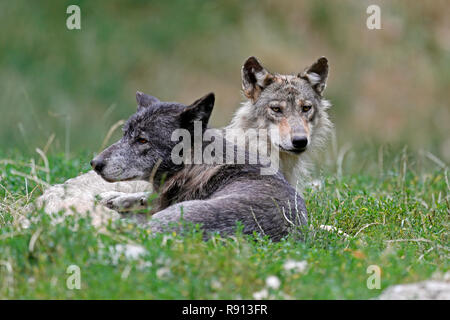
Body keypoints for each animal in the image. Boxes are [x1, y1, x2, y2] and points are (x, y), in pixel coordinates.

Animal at [89, 91, 308, 239]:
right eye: (125, 134)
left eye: (142, 140)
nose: (95, 163)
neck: (195, 163)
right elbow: (140, 196)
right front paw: (112, 197)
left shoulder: (164, 203)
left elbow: (147, 199)